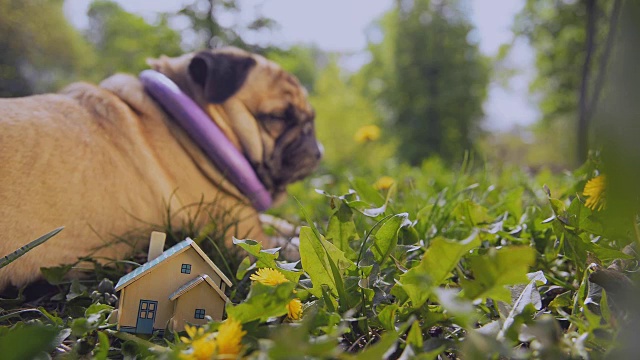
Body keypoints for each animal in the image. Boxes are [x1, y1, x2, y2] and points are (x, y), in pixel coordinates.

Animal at [0, 47, 320, 290]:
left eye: (311, 118)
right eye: (277, 118)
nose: (316, 146)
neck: (186, 125)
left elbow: (287, 224)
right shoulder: (245, 235)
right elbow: (286, 245)